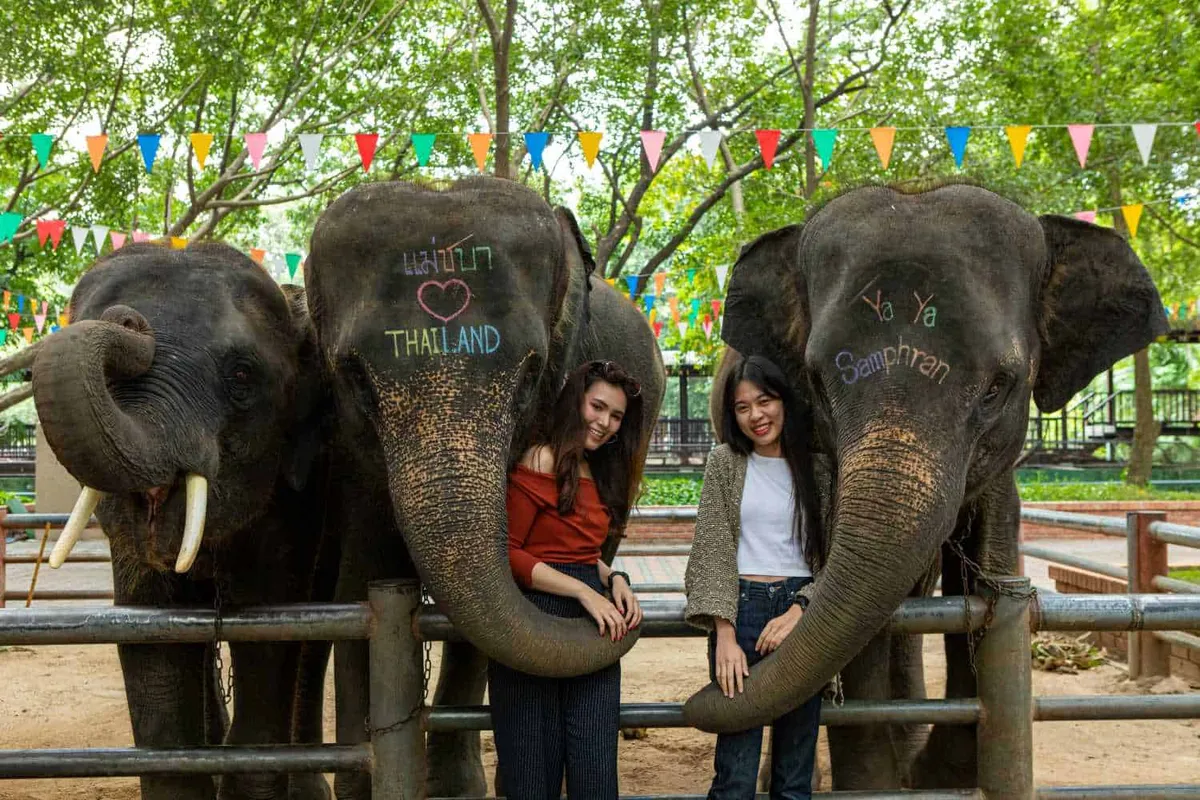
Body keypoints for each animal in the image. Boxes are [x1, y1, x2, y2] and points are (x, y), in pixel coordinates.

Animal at [685, 182, 1168, 790]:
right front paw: (875, 785)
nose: (695, 703)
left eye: (999, 386)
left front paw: (936, 770)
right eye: (815, 381)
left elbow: (987, 548)